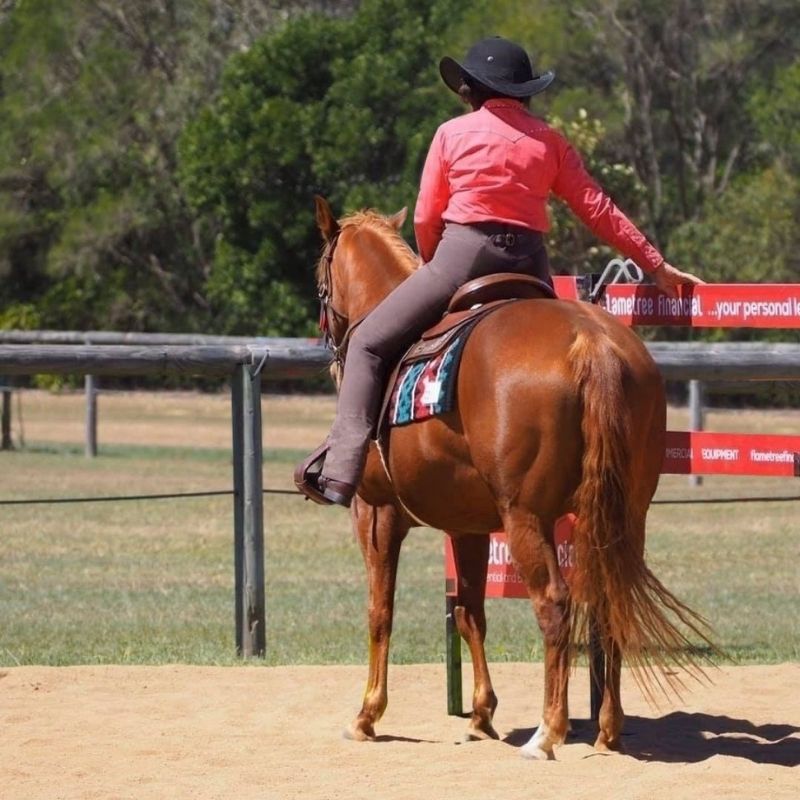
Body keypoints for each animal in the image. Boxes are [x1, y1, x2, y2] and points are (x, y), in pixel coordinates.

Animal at [316, 197, 708, 760]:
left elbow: (380, 611)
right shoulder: (468, 526)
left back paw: (548, 732)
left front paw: (367, 714)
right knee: (607, 598)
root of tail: (592, 342)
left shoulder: (376, 514)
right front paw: (481, 714)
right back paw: (608, 728)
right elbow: (470, 612)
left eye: (319, 281)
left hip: (526, 517)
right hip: (624, 513)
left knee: (555, 605)